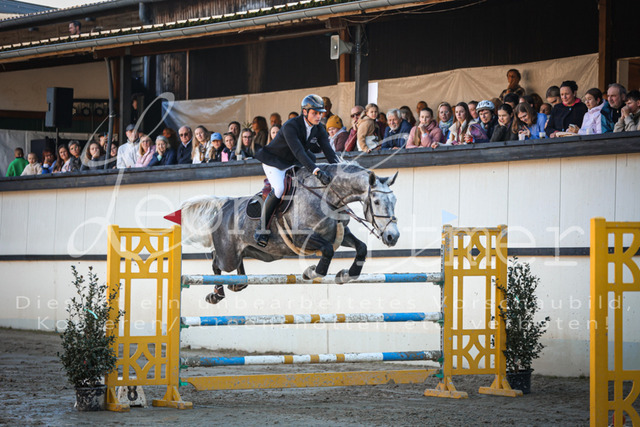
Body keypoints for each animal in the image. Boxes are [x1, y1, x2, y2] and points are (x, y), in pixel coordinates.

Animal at [178, 161, 399, 304]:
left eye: (395, 201)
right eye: (376, 201)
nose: (393, 237)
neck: (326, 197)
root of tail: (223, 205)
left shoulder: (340, 235)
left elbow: (361, 248)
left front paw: (346, 274)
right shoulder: (303, 238)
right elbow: (327, 251)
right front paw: (311, 271)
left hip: (256, 252)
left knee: (238, 267)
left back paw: (237, 285)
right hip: (228, 255)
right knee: (217, 262)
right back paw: (216, 294)